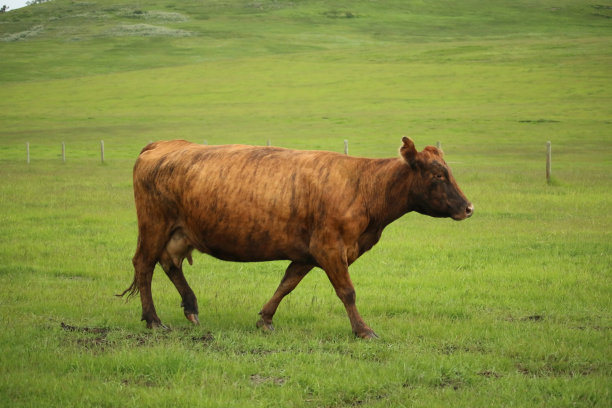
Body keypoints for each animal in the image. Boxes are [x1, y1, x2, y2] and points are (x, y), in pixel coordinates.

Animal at [119, 137, 474, 338]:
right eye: (438, 175)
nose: (469, 207)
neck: (363, 186)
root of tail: (164, 145)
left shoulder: (308, 253)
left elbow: (287, 284)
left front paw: (265, 319)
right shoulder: (330, 248)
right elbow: (347, 292)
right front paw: (363, 330)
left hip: (178, 231)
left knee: (170, 263)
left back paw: (190, 307)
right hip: (154, 225)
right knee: (144, 265)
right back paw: (153, 320)